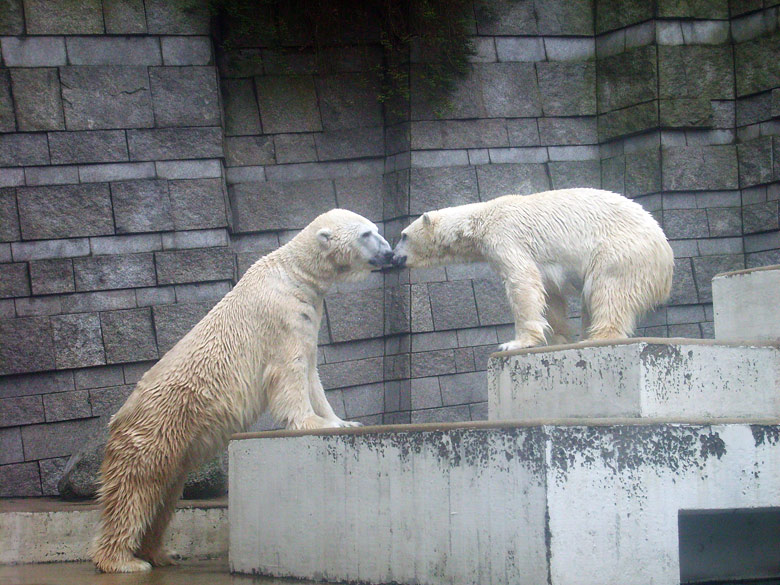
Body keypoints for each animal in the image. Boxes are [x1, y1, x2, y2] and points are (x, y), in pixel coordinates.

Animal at [91, 209, 394, 572]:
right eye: (366, 234)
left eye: (375, 229)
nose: (391, 253)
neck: (294, 274)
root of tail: (117, 420)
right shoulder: (282, 317)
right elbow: (289, 372)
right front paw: (315, 423)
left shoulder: (308, 313)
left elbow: (312, 375)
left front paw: (343, 420)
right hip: (154, 431)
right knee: (136, 490)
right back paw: (123, 561)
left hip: (173, 445)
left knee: (163, 495)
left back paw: (161, 554)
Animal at [394, 188, 672, 352]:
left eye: (403, 235)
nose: (395, 257)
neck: (479, 221)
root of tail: (666, 256)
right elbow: (549, 294)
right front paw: (559, 338)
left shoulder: (505, 238)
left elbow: (522, 281)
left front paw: (516, 343)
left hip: (621, 251)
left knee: (608, 291)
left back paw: (598, 337)